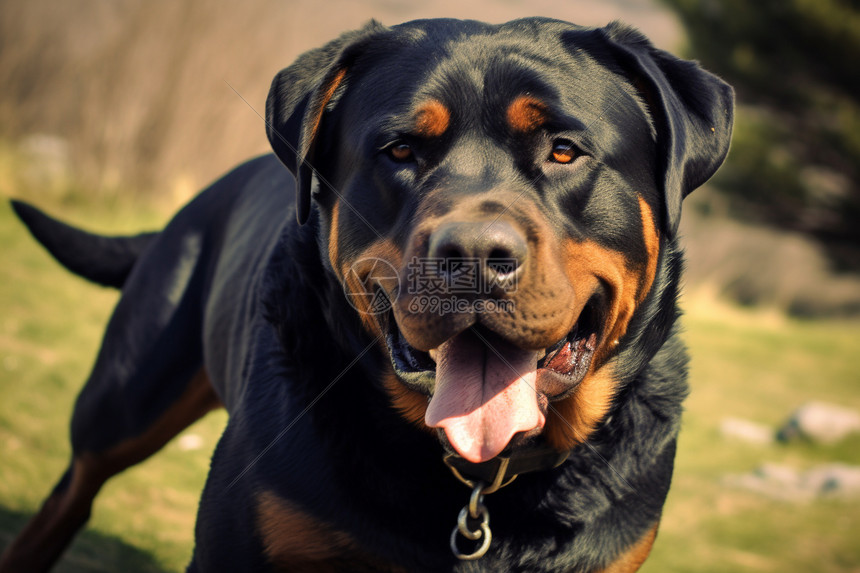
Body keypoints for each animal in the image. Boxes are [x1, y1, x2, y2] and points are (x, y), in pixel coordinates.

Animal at [0, 15, 732, 568]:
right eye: (401, 149)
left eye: (563, 150)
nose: (473, 255)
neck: (478, 481)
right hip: (126, 394)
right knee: (76, 484)